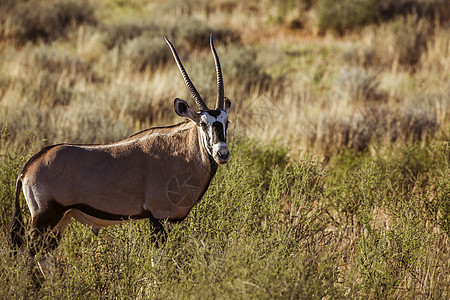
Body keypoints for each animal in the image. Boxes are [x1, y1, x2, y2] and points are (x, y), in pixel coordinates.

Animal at [9, 33, 232, 253]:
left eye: (226, 122)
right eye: (203, 123)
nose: (222, 153)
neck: (182, 152)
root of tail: (27, 169)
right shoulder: (157, 217)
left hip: (60, 222)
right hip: (44, 220)